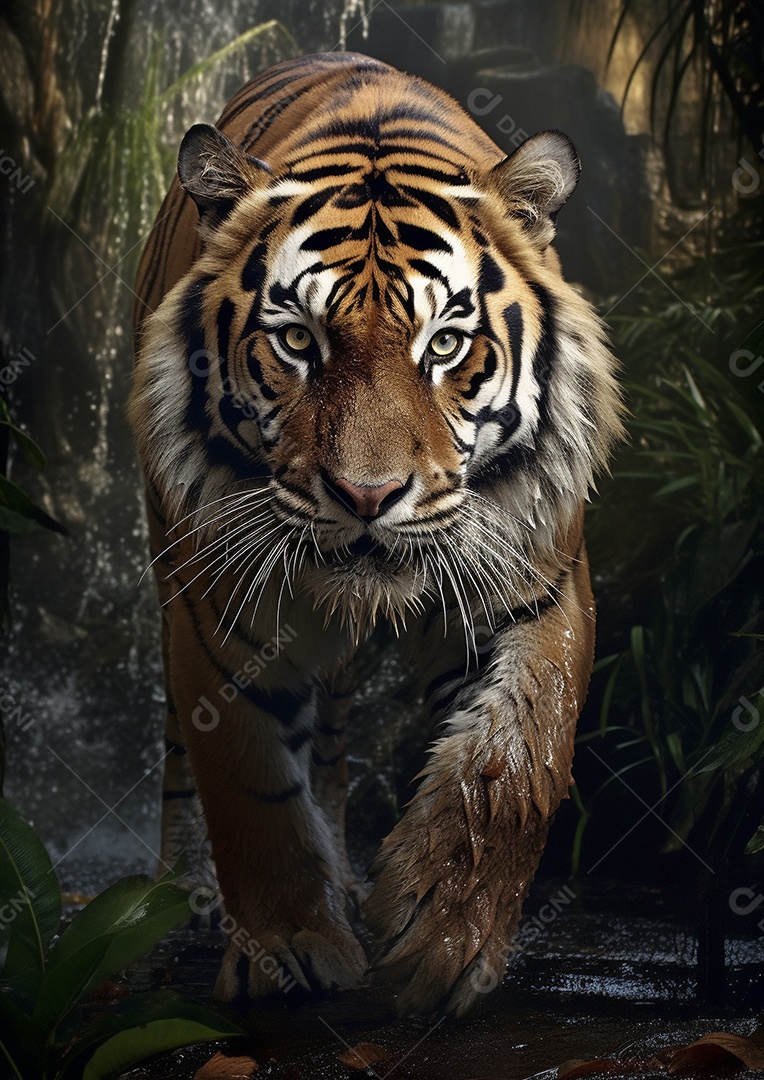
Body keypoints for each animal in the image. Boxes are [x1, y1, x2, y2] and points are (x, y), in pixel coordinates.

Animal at [128, 52, 624, 1017]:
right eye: (296, 341)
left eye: (445, 346)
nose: (368, 495)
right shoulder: (217, 618)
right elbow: (249, 787)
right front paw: (292, 945)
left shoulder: (540, 583)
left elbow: (517, 753)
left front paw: (441, 934)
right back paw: (189, 898)